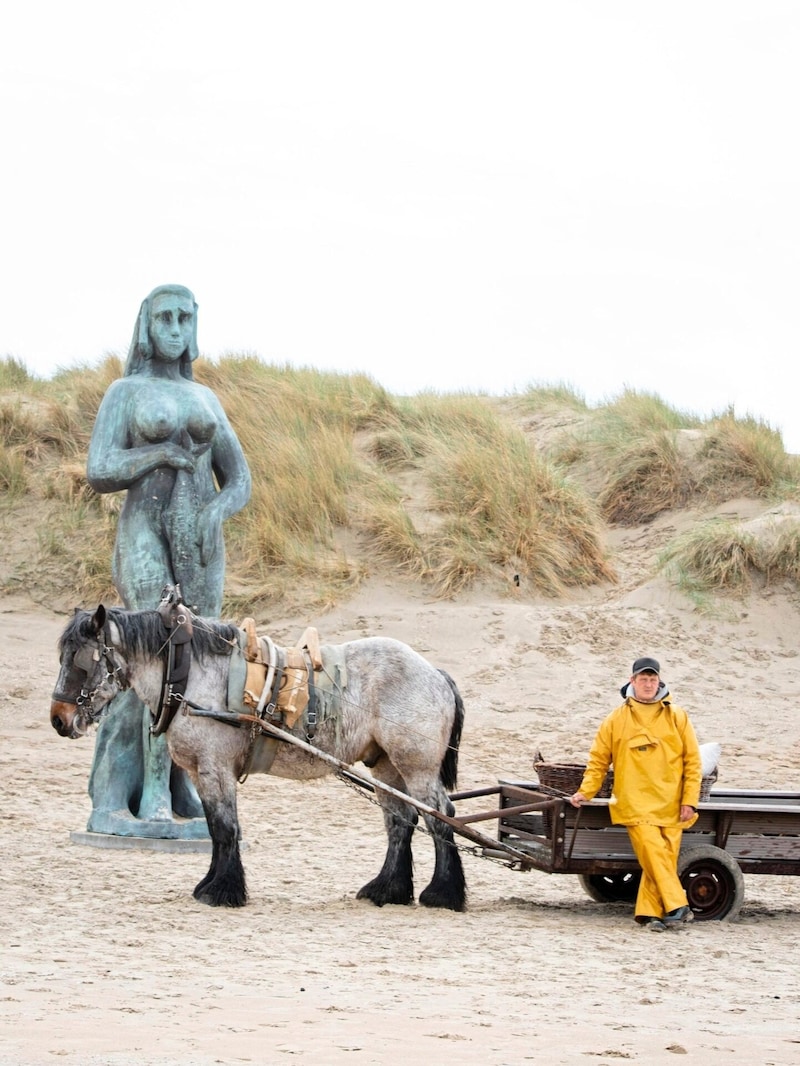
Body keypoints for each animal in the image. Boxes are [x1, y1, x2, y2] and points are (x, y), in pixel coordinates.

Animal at [50, 601, 469, 908]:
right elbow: (217, 830)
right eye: (62, 657)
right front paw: (212, 884)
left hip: (417, 768)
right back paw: (388, 889)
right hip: (386, 767)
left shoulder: (216, 769)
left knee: (440, 817)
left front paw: (223, 890)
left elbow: (226, 828)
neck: (188, 675)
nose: (58, 719)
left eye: (82, 660)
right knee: (401, 822)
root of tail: (435, 673)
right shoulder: (201, 772)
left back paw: (443, 893)